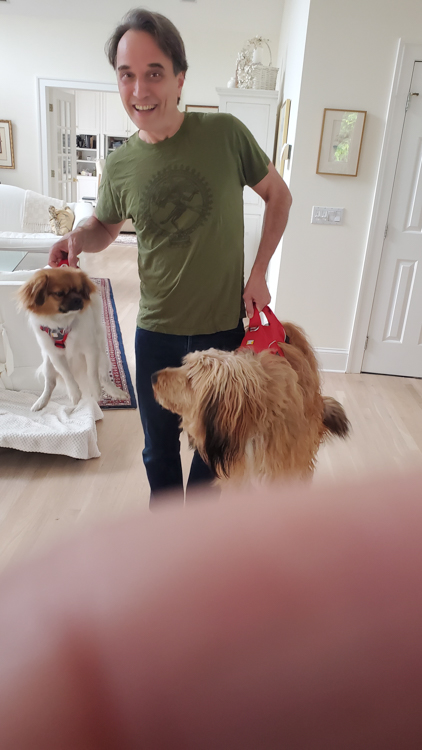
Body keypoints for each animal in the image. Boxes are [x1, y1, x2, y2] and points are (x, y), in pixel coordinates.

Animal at [18, 266, 129, 411]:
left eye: (80, 291)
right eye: (59, 293)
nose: (78, 300)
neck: (62, 323)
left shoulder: (91, 350)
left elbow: (92, 373)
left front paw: (96, 391)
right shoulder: (55, 356)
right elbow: (67, 375)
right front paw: (75, 393)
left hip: (103, 358)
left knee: (104, 378)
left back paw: (115, 392)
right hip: (48, 364)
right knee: (50, 385)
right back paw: (41, 402)